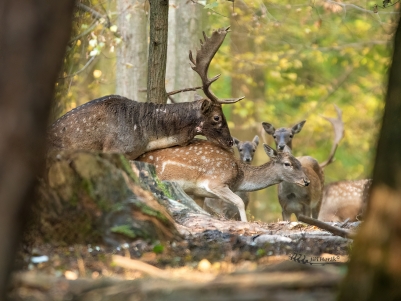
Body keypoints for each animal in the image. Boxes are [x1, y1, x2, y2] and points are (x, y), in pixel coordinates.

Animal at [138, 138, 310, 220]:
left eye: (299, 163)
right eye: (287, 164)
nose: (306, 181)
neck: (239, 177)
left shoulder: (199, 193)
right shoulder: (215, 182)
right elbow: (239, 202)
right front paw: (245, 223)